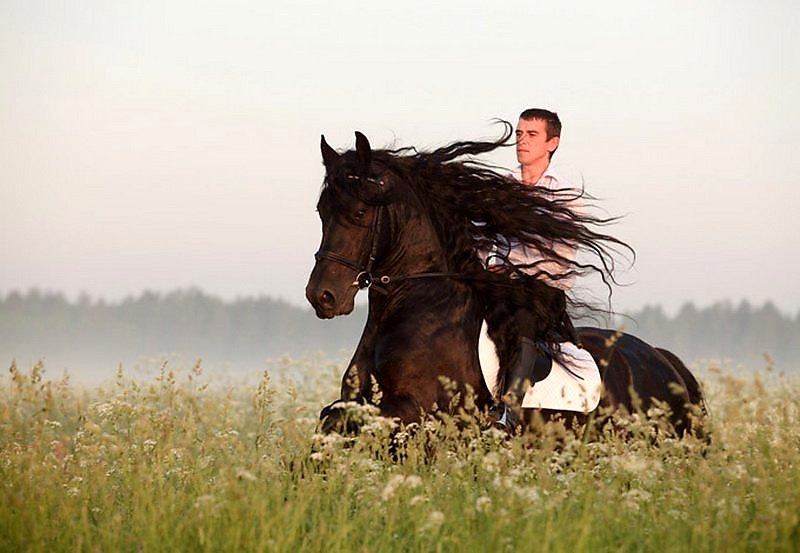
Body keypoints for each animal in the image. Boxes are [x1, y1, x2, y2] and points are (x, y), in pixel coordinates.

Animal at [304, 127, 704, 438]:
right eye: (322, 212)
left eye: (360, 212)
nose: (322, 296)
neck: (414, 305)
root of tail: (664, 360)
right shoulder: (358, 401)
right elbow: (331, 416)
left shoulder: (417, 408)